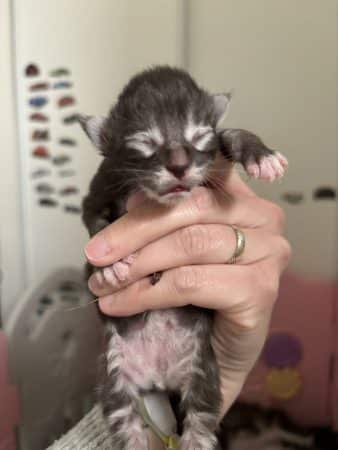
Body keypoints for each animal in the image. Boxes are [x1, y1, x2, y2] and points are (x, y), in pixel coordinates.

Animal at [79, 64, 288, 450]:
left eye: (198, 137)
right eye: (145, 143)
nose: (178, 166)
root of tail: (158, 376)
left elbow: (228, 133)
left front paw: (261, 155)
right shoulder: (100, 187)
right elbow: (95, 226)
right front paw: (110, 266)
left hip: (202, 370)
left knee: (201, 419)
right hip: (116, 377)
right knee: (125, 420)